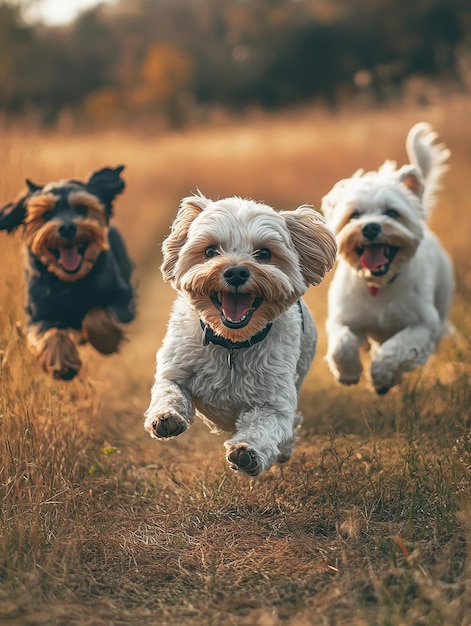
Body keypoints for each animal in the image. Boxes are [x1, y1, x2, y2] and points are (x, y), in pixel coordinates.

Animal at [0, 166, 136, 378]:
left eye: (81, 209)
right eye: (46, 214)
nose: (66, 228)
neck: (70, 282)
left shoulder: (124, 297)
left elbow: (95, 316)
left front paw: (106, 343)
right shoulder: (37, 314)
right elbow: (49, 332)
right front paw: (62, 363)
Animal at [143, 193, 336, 476]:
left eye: (264, 253)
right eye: (210, 251)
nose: (235, 271)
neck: (232, 344)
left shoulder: (274, 402)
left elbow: (266, 426)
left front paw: (247, 452)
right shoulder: (176, 368)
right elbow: (170, 391)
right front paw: (166, 418)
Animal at [324, 122, 454, 392]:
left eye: (392, 213)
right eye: (354, 215)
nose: (371, 227)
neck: (379, 285)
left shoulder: (423, 324)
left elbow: (396, 347)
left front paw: (383, 375)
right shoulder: (342, 319)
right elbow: (341, 345)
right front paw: (348, 372)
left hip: (442, 301)